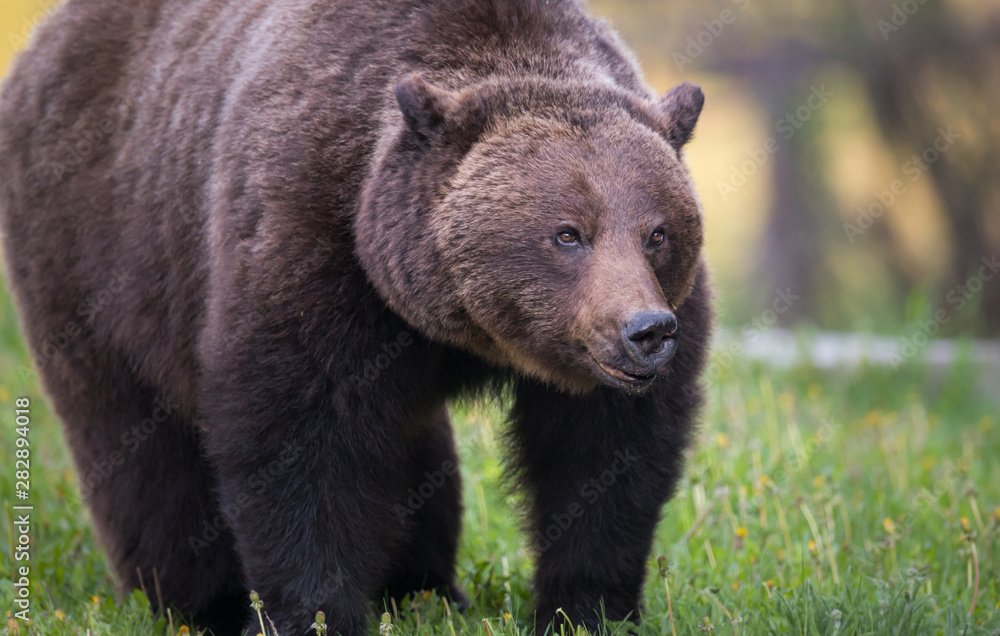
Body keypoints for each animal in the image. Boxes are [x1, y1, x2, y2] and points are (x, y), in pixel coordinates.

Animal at [0, 0, 711, 634]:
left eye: (658, 232)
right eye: (568, 233)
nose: (646, 331)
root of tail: (46, 36)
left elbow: (605, 458)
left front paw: (586, 610)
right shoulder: (312, 243)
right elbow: (302, 444)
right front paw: (310, 615)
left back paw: (423, 588)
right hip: (101, 254)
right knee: (138, 444)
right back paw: (202, 604)